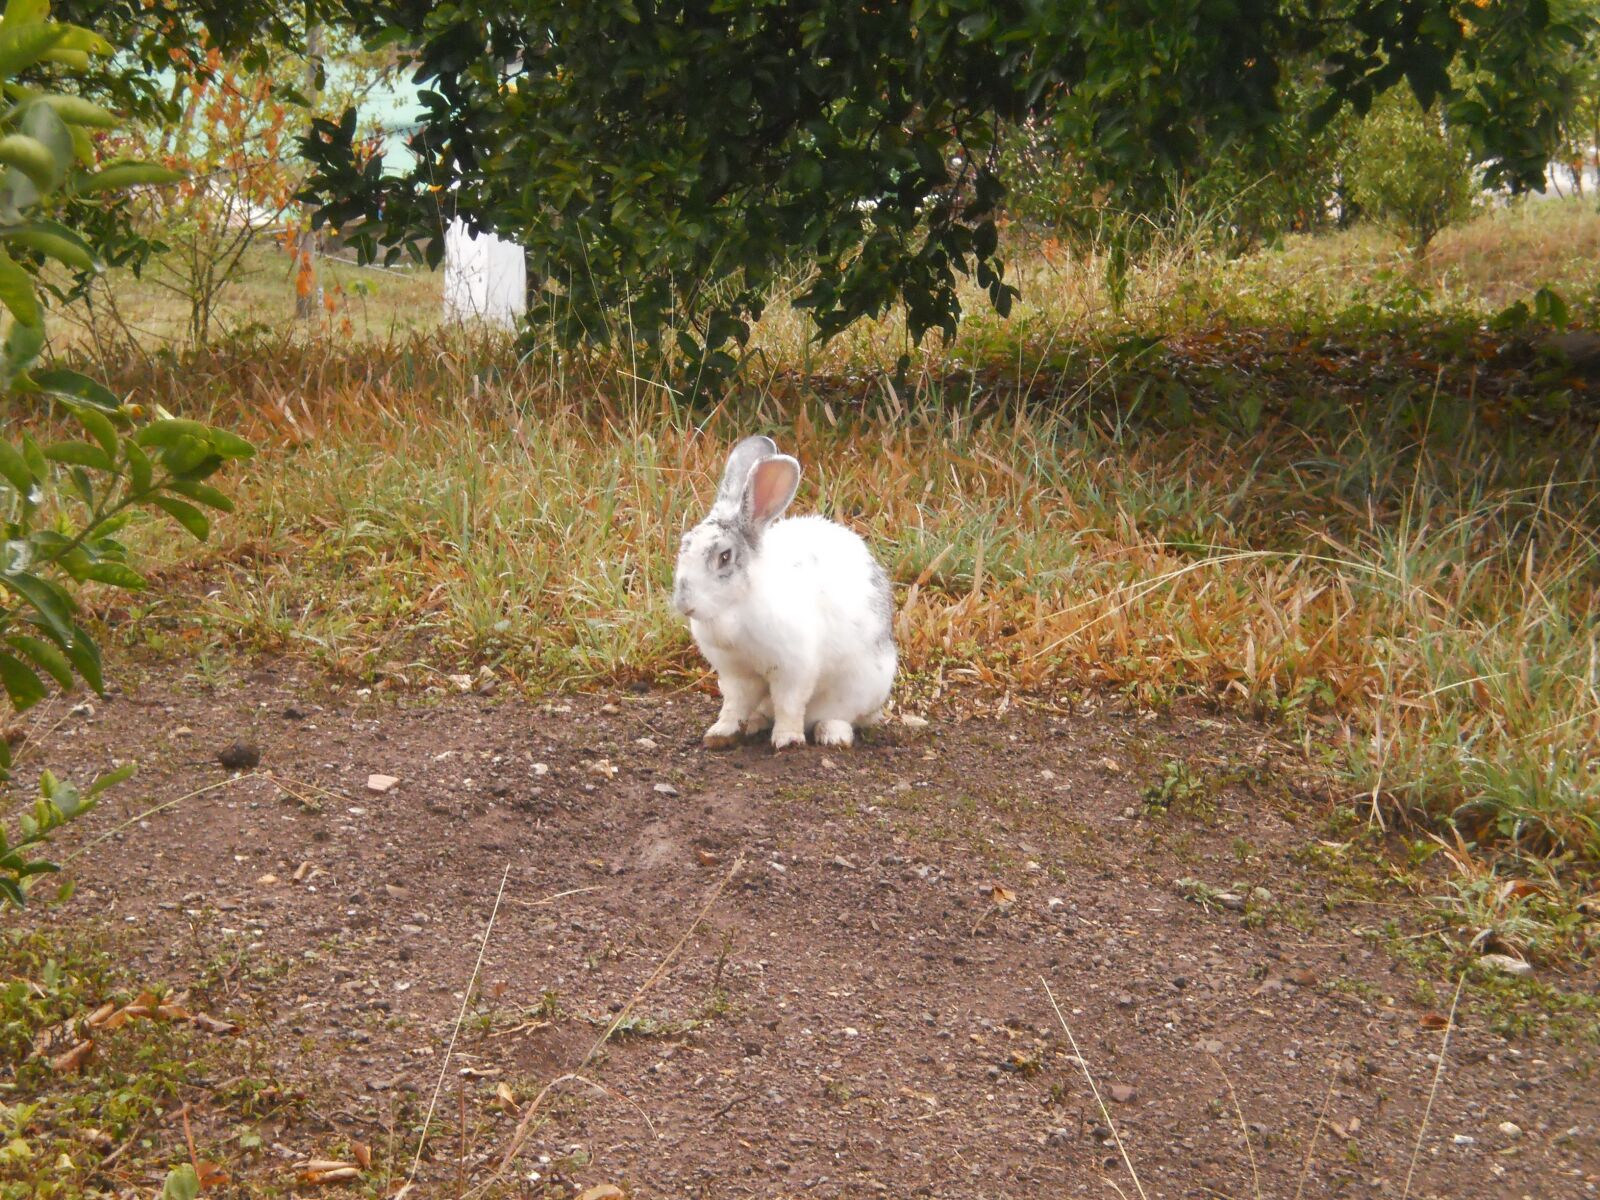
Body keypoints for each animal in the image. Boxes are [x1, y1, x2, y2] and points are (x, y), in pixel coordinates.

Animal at [672, 435, 896, 750]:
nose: (684, 604)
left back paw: (832, 734)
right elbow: (734, 705)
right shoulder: (735, 674)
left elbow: (789, 704)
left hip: (859, 686)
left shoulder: (793, 669)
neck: (735, 609)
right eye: (684, 545)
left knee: (841, 715)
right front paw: (720, 735)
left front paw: (787, 740)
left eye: (724, 557)